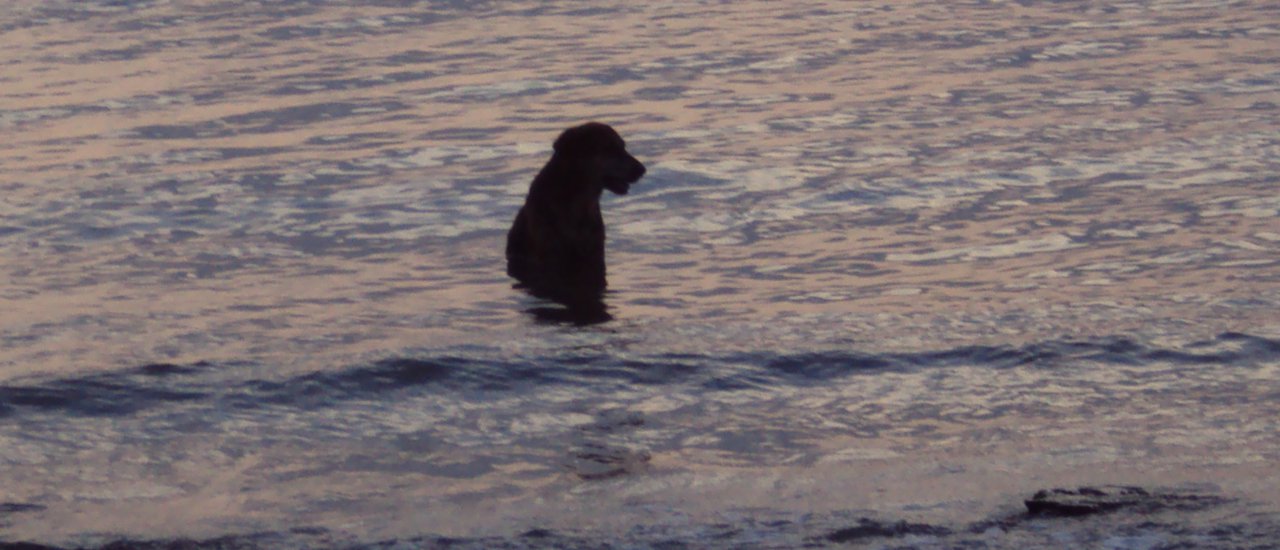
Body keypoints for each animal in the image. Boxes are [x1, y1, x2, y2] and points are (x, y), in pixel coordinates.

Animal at [506, 122, 650, 309]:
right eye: (610, 149)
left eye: (623, 147)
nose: (642, 170)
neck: (578, 202)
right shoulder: (550, 253)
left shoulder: (595, 252)